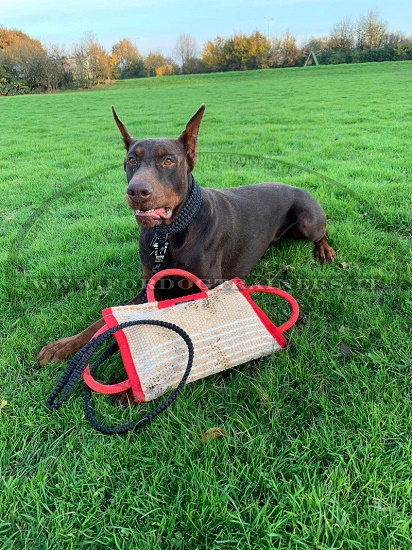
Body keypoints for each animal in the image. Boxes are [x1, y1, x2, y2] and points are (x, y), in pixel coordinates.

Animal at [37, 105, 336, 368]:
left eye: (168, 160)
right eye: (132, 160)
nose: (137, 191)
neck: (168, 234)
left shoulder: (206, 289)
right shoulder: (149, 285)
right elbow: (102, 323)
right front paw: (63, 345)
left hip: (308, 219)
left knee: (322, 231)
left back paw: (325, 250)